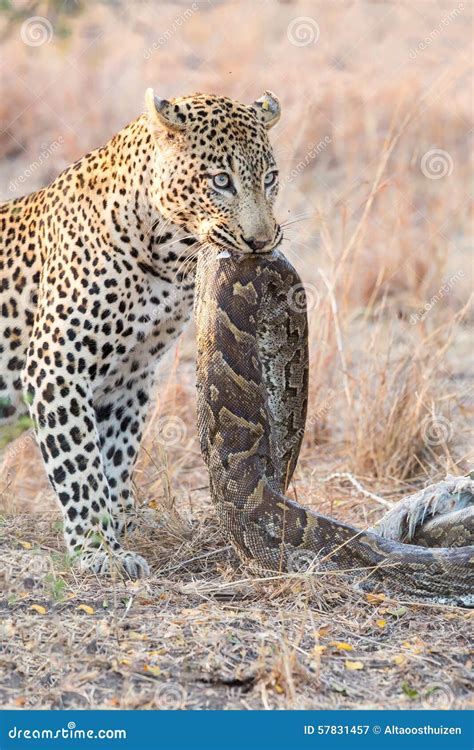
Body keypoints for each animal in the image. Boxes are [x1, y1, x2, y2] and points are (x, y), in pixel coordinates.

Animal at [0, 88, 282, 577]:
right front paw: (100, 550)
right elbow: (80, 465)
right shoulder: (56, 367)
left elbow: (115, 456)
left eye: (270, 178)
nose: (261, 242)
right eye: (221, 181)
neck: (168, 254)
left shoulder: (129, 375)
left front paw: (120, 524)